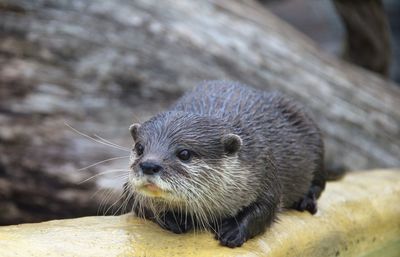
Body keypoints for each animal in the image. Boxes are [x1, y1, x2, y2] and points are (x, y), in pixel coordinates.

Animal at [125, 81, 324, 247]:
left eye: (184, 153)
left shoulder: (265, 169)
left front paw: (233, 231)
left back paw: (306, 200)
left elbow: (267, 208)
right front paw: (175, 218)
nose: (149, 165)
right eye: (140, 148)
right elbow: (140, 204)